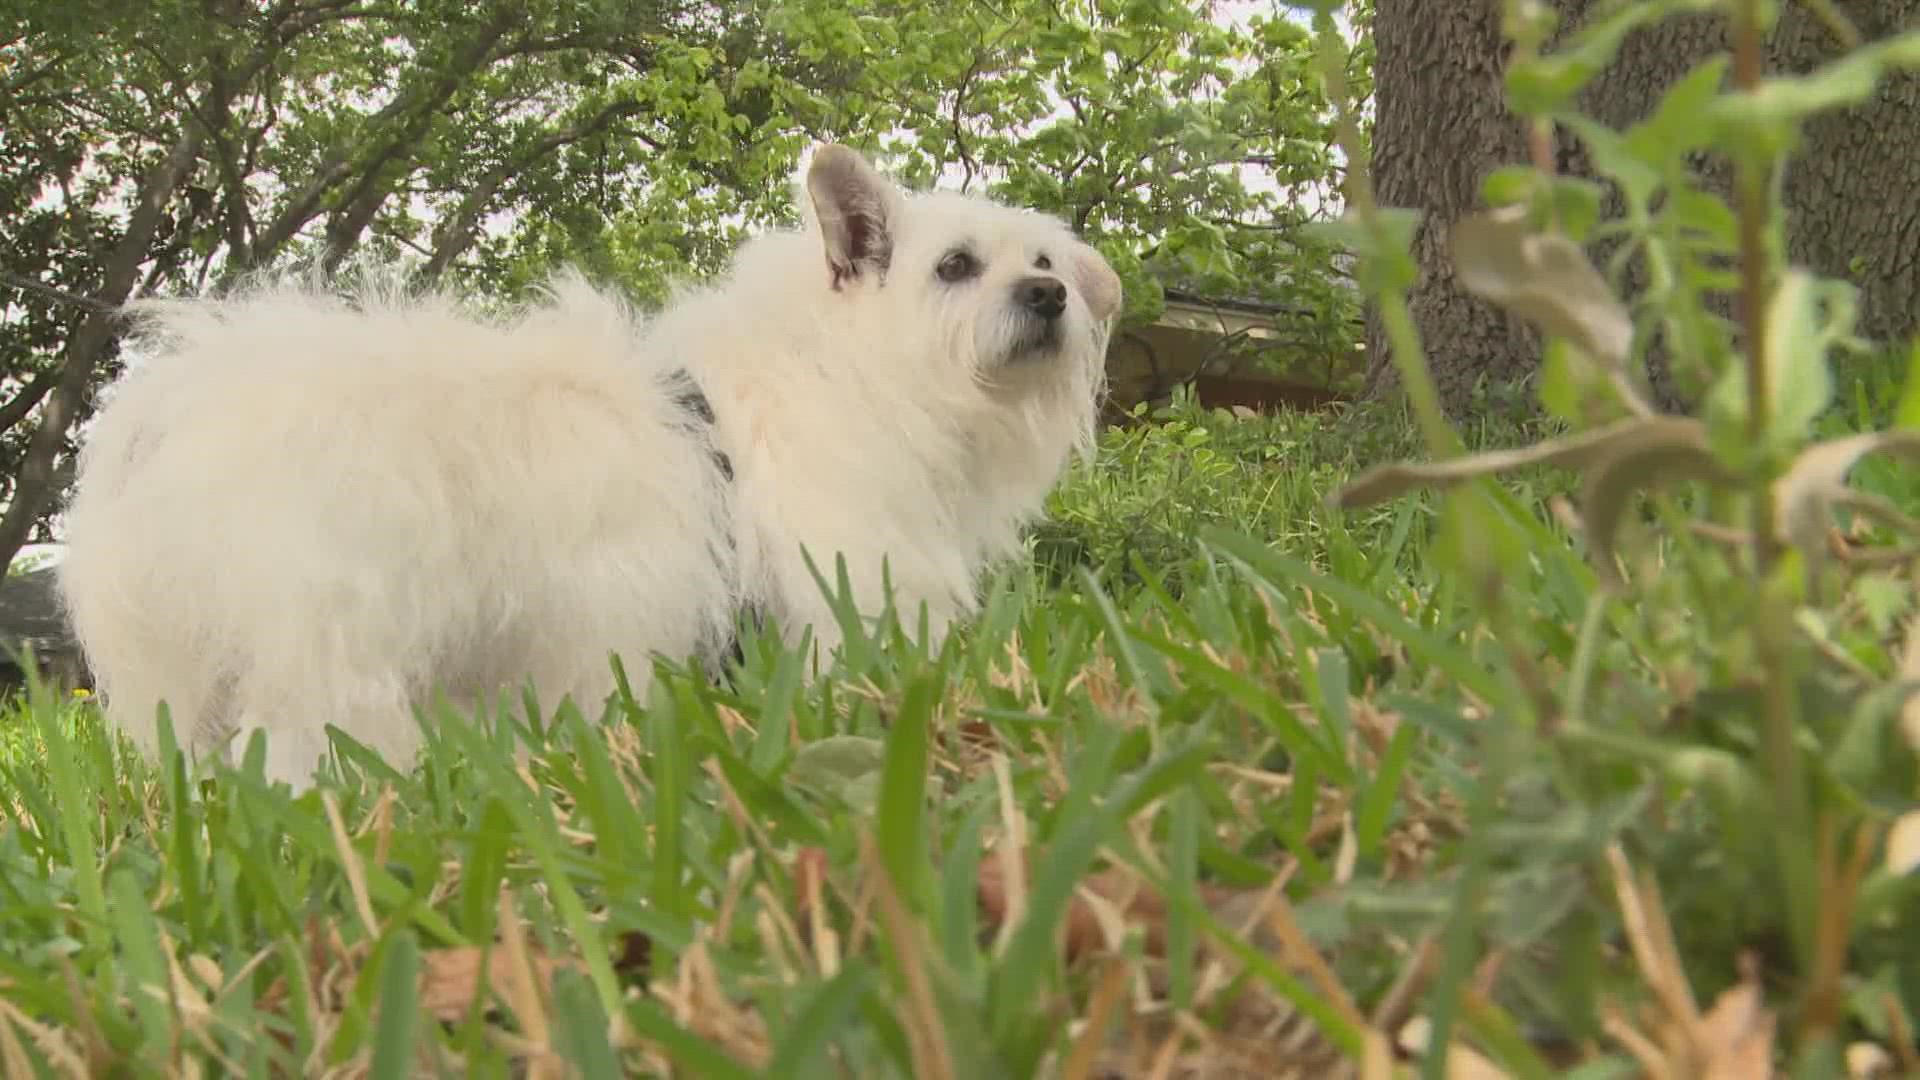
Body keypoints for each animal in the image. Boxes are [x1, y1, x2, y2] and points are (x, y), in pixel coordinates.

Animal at [56, 143, 1121, 780]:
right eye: (955, 267)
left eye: (1045, 262)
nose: (1050, 297)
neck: (850, 362)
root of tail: (173, 404)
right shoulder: (848, 588)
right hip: (330, 643)